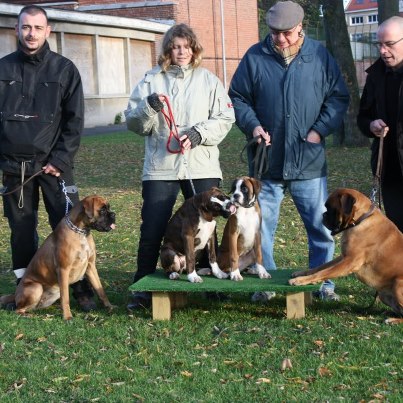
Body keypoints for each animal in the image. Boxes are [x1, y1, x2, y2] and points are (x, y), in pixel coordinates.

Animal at [290, 189, 403, 326]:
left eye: (331, 208)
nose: (323, 215)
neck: (360, 220)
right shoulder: (343, 257)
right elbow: (321, 267)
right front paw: (301, 274)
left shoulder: (349, 262)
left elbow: (323, 272)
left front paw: (300, 280)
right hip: (384, 295)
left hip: (398, 284)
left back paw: (393, 320)